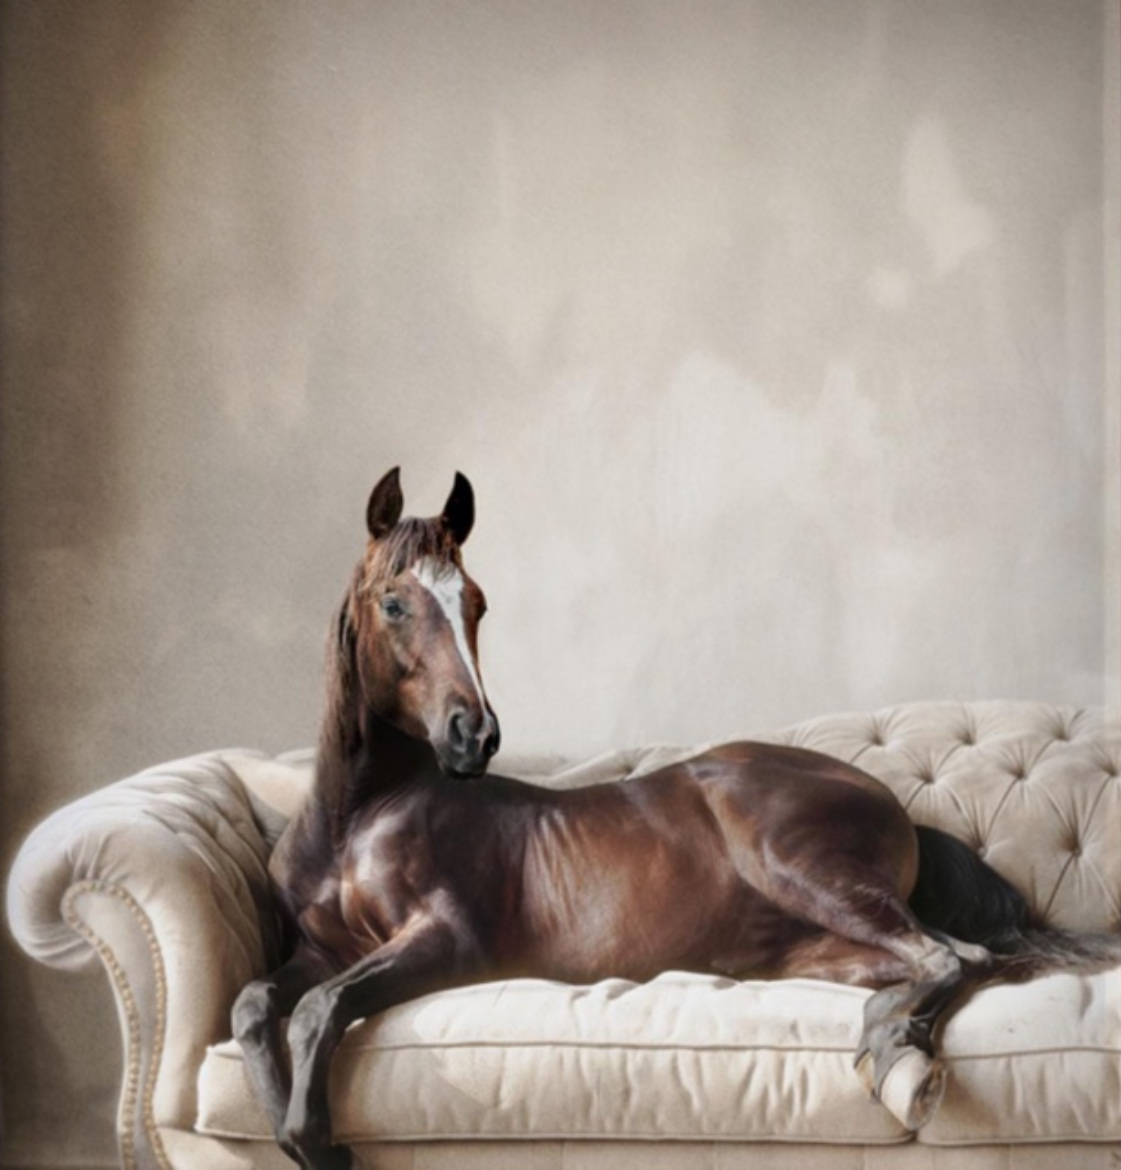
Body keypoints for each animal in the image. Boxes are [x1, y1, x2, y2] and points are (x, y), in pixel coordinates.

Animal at [233, 468, 1121, 1170]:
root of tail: (887, 803)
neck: (358, 817)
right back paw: (892, 1055)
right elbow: (255, 1004)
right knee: (927, 967)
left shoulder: (450, 939)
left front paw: (318, 1144)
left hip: (802, 873)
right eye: (392, 603)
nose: (472, 735)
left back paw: (902, 1066)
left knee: (953, 955)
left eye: (475, 603)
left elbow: (316, 1010)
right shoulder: (323, 949)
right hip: (813, 952)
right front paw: (283, 1123)